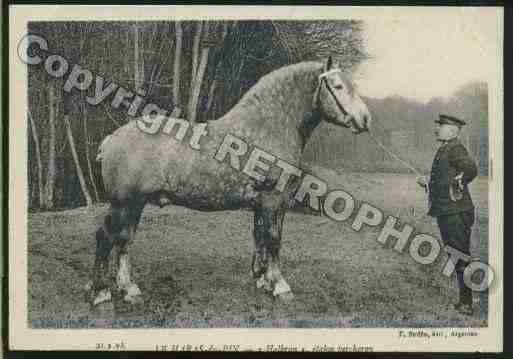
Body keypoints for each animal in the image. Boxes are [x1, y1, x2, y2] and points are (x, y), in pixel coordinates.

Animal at [92, 55, 370, 306]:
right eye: (338, 86)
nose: (365, 119)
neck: (267, 127)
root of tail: (111, 139)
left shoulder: (267, 203)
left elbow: (260, 236)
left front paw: (262, 280)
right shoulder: (273, 199)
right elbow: (273, 239)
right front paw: (280, 286)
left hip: (135, 204)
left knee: (124, 240)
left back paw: (129, 289)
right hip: (123, 202)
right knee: (106, 237)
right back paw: (101, 293)